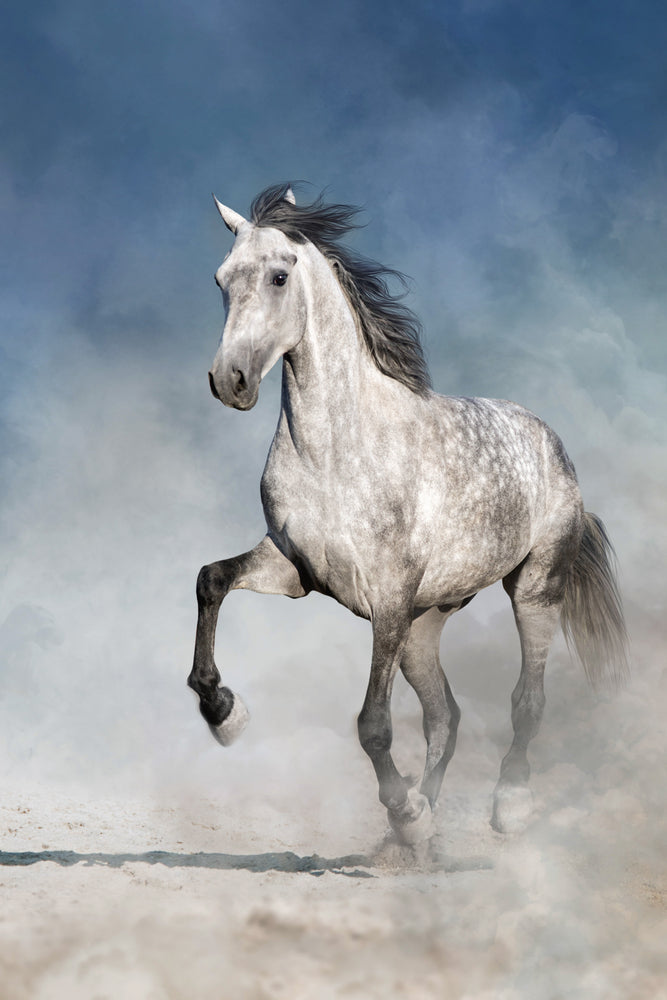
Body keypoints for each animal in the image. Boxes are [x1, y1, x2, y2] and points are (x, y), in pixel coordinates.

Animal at [188, 183, 628, 843]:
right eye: (220, 279)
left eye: (278, 276)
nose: (229, 380)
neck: (335, 451)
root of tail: (551, 442)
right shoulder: (294, 568)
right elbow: (211, 579)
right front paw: (224, 713)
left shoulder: (389, 597)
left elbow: (373, 724)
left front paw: (400, 808)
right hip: (424, 628)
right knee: (445, 714)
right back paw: (422, 818)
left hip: (532, 591)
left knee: (526, 702)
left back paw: (505, 806)